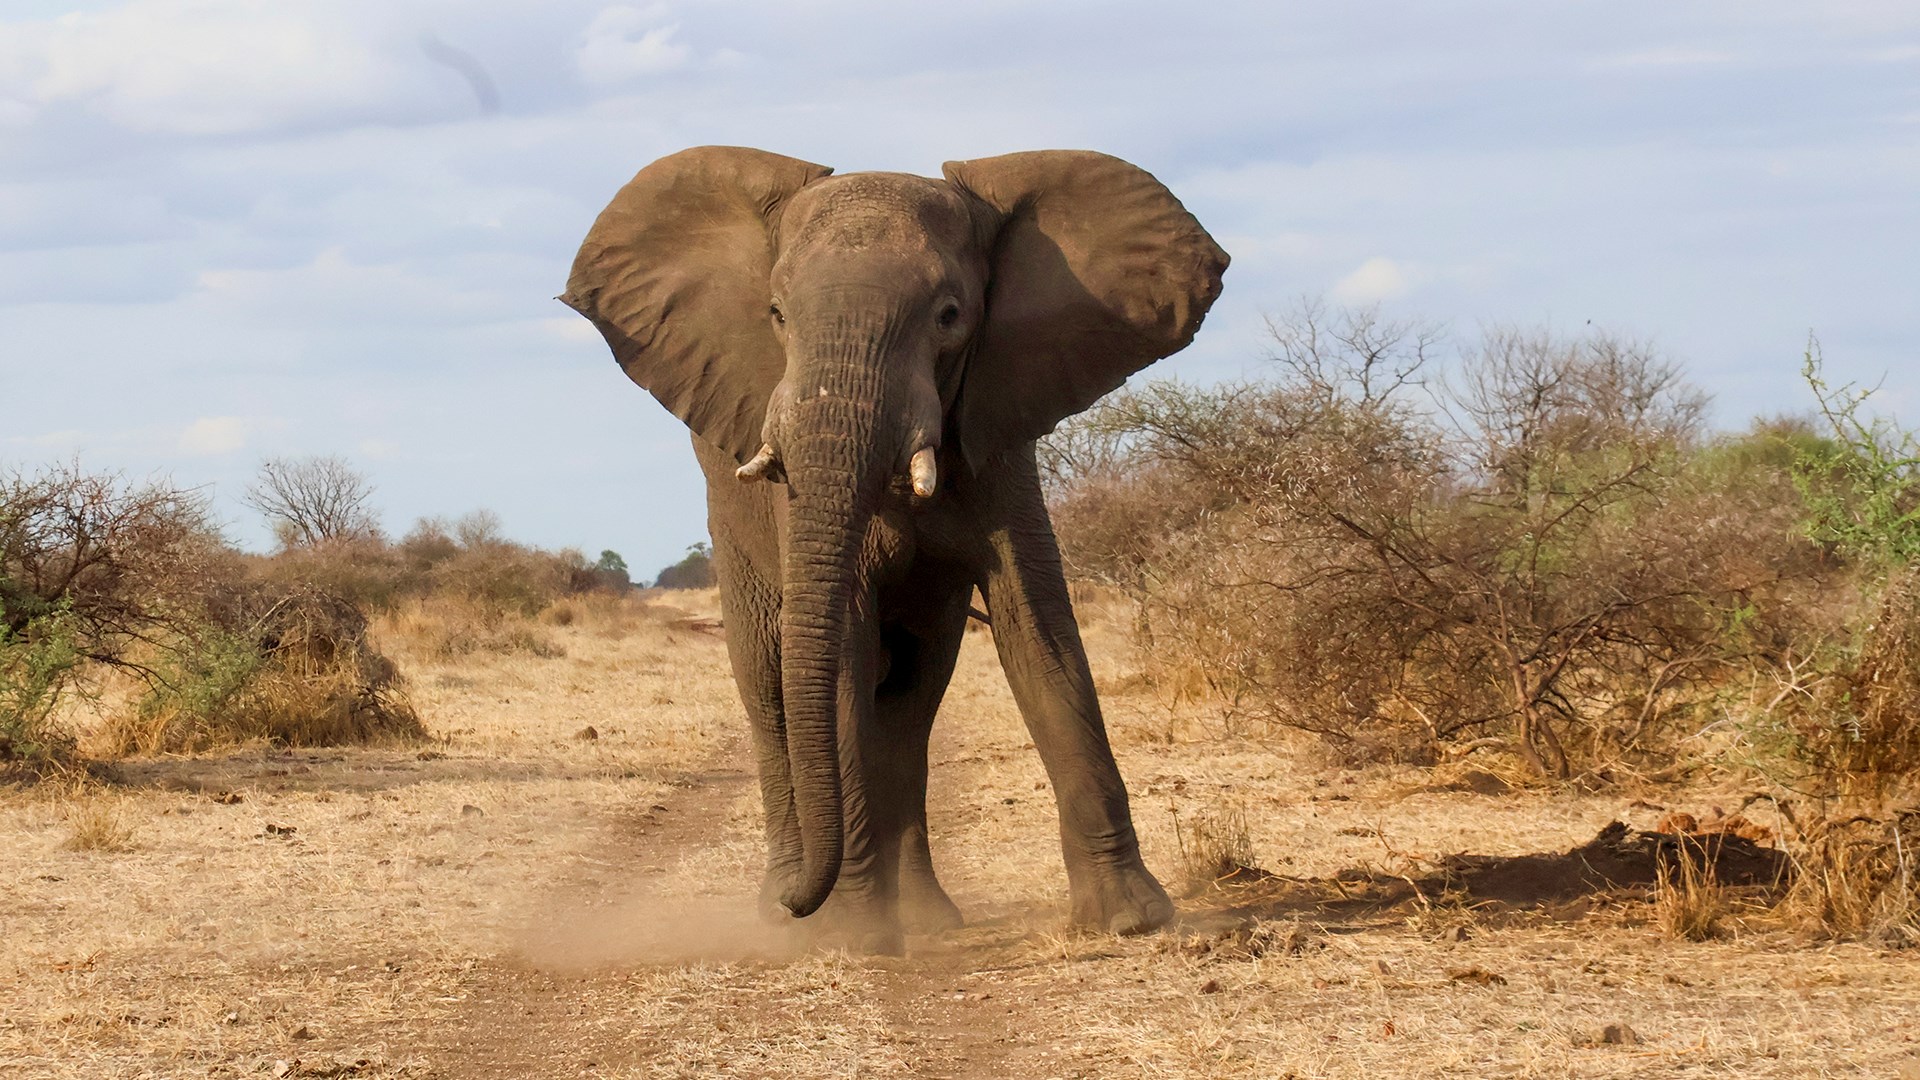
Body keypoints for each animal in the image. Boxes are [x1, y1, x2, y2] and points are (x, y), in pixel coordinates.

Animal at [561, 146, 1228, 953]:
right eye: (777, 315)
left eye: (949, 316)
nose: (802, 902)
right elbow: (840, 650)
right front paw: (851, 935)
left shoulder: (998, 429)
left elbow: (1039, 628)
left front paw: (1131, 921)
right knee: (769, 682)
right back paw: (792, 910)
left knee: (912, 693)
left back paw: (917, 916)